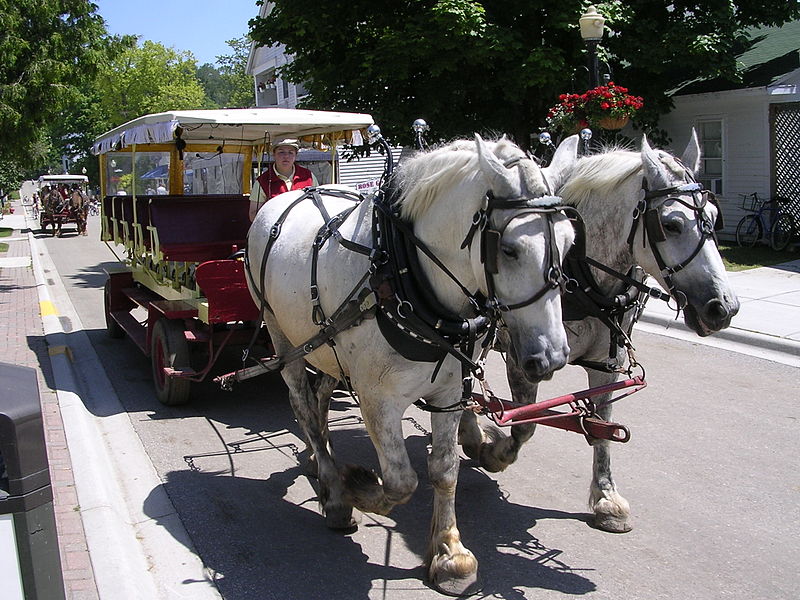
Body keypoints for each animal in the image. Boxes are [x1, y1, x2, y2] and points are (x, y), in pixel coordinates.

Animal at [244, 134, 576, 592]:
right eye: (509, 250)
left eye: (571, 242)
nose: (553, 357)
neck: (402, 272)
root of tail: (286, 197)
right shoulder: (376, 398)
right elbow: (401, 481)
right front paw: (356, 486)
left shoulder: (450, 392)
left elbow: (445, 469)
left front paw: (450, 553)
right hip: (281, 335)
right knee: (302, 404)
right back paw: (332, 487)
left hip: (326, 345)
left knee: (322, 393)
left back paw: (318, 454)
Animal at [460, 131, 740, 528]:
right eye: (671, 224)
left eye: (715, 217)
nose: (724, 307)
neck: (582, 273)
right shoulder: (523, 356)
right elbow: (525, 423)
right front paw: (495, 452)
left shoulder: (607, 360)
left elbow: (603, 425)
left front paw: (606, 495)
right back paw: (471, 433)